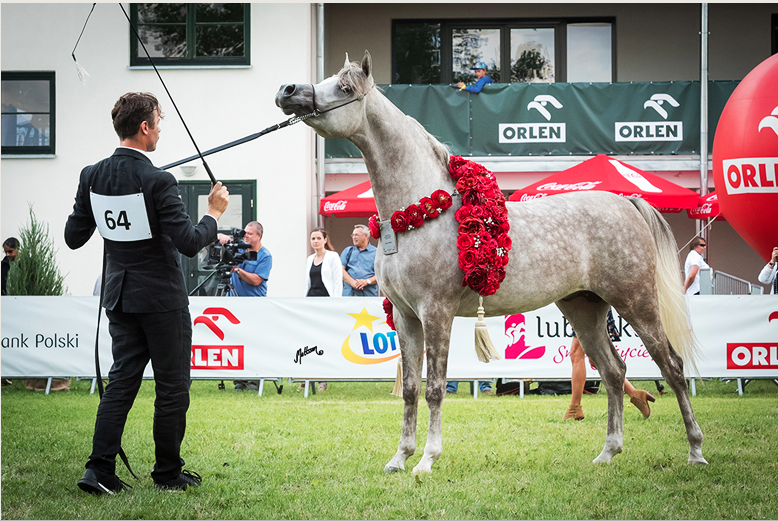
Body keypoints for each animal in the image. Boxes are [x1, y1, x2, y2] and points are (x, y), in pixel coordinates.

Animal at [276, 50, 708, 474]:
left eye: (345, 87)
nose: (288, 91)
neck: (415, 214)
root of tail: (628, 202)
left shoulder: (436, 311)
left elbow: (435, 388)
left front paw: (427, 459)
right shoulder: (404, 316)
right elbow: (412, 389)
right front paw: (400, 458)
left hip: (637, 302)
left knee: (672, 366)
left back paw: (695, 451)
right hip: (584, 308)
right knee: (614, 372)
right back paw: (608, 452)